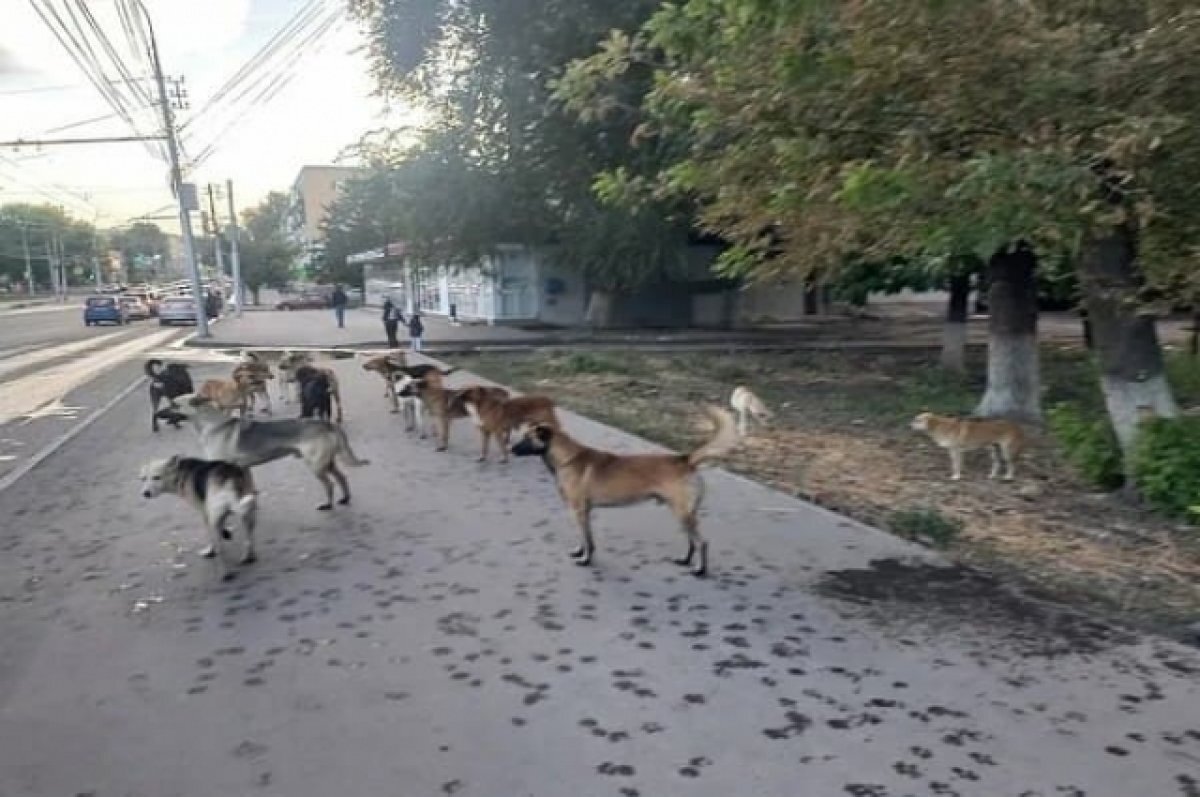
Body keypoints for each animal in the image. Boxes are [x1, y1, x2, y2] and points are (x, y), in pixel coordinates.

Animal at [183, 398, 364, 511]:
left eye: (175, 405)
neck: (213, 425)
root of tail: (327, 424)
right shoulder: (244, 468)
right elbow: (248, 489)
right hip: (327, 462)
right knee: (342, 478)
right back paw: (345, 498)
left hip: (316, 465)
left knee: (329, 485)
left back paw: (328, 504)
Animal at [508, 408, 734, 576]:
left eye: (527, 439)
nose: (511, 449)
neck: (567, 458)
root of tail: (684, 460)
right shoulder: (583, 512)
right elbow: (584, 538)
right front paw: (580, 552)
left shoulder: (579, 511)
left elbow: (587, 540)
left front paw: (586, 560)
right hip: (682, 514)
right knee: (692, 541)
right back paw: (686, 561)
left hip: (682, 514)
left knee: (702, 542)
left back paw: (700, 570)